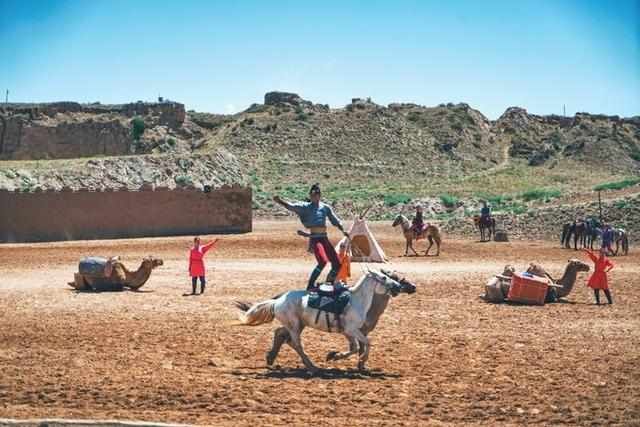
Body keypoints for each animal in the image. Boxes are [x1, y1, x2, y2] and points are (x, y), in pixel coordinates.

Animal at [235, 270, 416, 374]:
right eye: (385, 277)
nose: (399, 287)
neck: (356, 301)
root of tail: (277, 300)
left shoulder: (349, 332)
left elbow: (355, 347)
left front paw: (335, 356)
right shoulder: (352, 330)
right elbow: (366, 343)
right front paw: (359, 360)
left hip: (297, 324)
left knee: (281, 334)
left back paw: (271, 357)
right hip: (294, 325)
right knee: (295, 344)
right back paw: (311, 366)